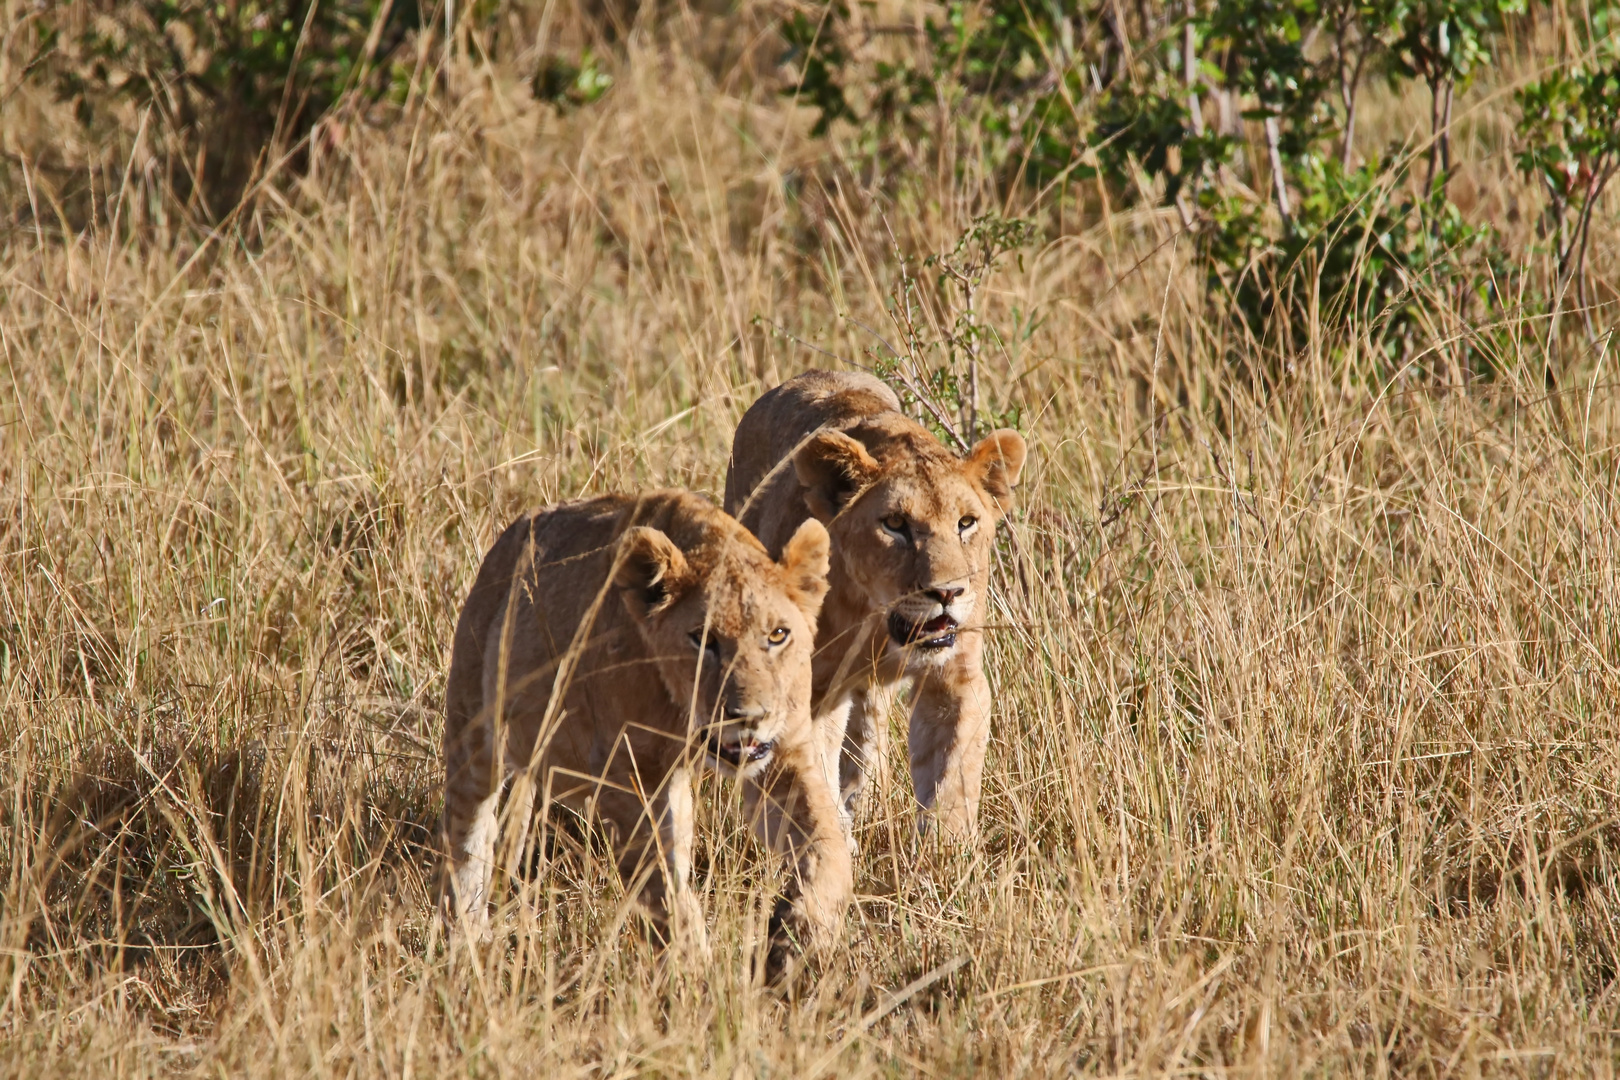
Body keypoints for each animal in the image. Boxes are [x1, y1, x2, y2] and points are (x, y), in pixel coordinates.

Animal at [437, 485, 855, 958]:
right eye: (703, 640)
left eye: (778, 635)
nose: (749, 717)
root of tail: (510, 535)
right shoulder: (627, 777)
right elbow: (661, 883)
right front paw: (693, 963)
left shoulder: (784, 753)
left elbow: (827, 842)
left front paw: (800, 935)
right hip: (475, 734)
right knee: (467, 833)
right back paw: (466, 938)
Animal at [722, 372, 1023, 841]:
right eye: (895, 524)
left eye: (966, 523)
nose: (948, 593)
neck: (878, 620)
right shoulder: (808, 695)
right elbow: (810, 792)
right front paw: (834, 841)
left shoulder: (956, 676)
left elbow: (952, 778)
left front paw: (945, 851)